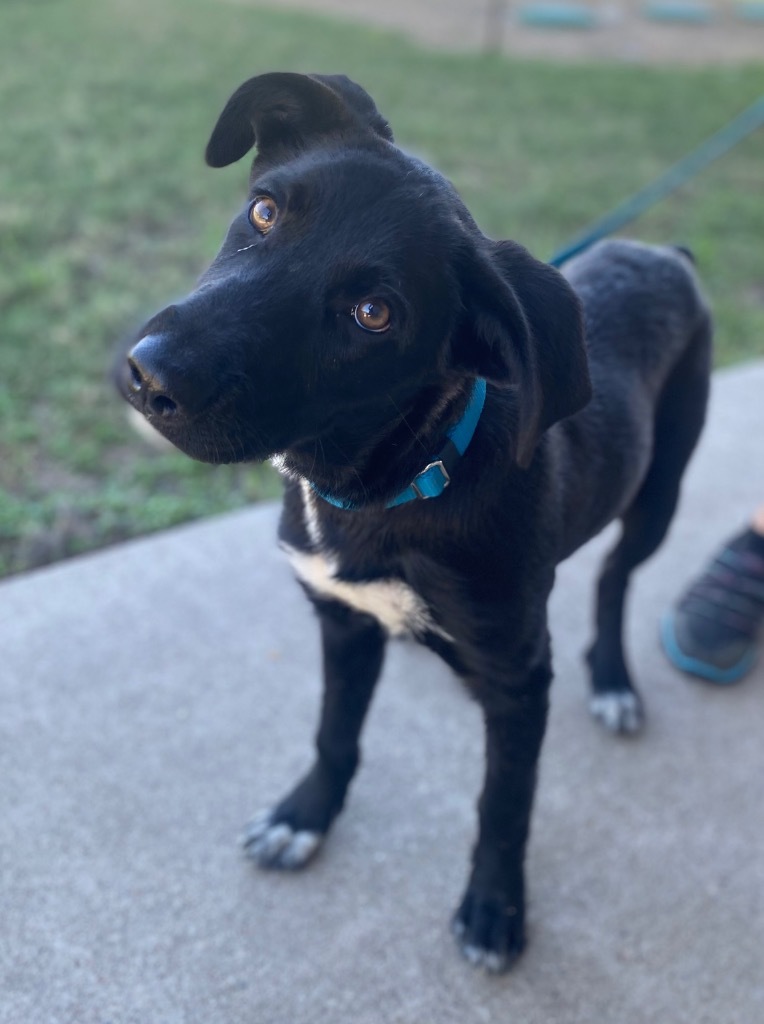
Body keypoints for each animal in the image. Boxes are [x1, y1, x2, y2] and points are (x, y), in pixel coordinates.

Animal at [116, 72, 712, 966]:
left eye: (374, 314)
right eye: (265, 211)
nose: (149, 376)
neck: (393, 487)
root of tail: (665, 254)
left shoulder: (519, 682)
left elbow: (503, 805)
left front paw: (496, 906)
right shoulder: (341, 618)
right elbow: (335, 731)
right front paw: (305, 818)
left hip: (660, 489)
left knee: (614, 577)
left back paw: (611, 679)